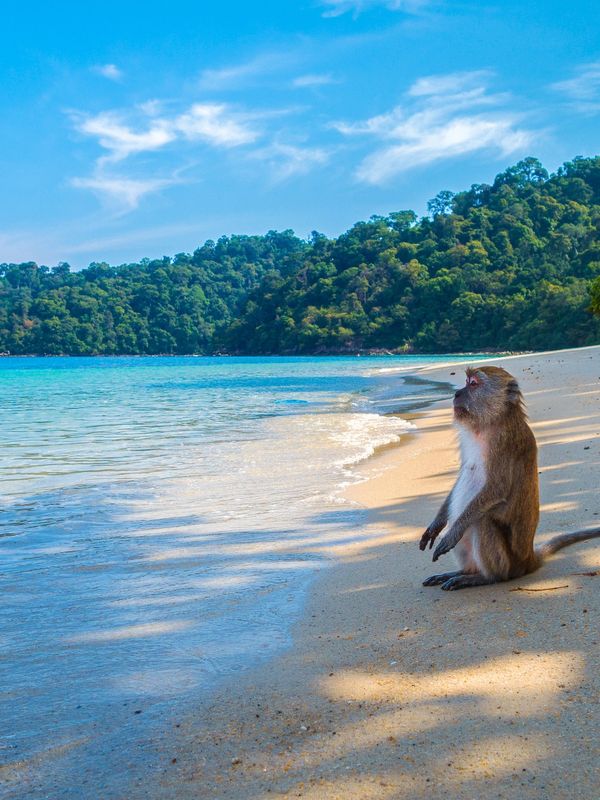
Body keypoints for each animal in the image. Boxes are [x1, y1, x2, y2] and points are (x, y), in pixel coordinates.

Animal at [418, 366, 600, 592]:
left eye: (473, 383)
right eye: (466, 382)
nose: (456, 393)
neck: (491, 422)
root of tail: (528, 560)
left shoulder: (503, 442)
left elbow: (497, 489)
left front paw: (453, 532)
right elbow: (461, 477)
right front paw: (437, 525)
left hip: (508, 563)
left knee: (482, 520)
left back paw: (484, 577)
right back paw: (463, 572)